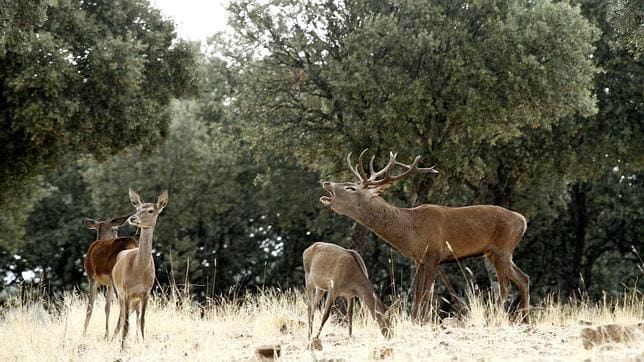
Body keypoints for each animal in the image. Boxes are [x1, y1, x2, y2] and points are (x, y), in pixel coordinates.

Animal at [112, 188, 169, 350]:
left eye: (151, 210)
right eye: (137, 208)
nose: (133, 218)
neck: (139, 271)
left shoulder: (146, 292)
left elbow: (142, 321)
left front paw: (143, 344)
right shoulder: (126, 291)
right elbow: (125, 323)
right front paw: (122, 349)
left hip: (135, 300)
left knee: (134, 319)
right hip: (118, 292)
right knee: (121, 318)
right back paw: (114, 340)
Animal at [320, 151, 532, 320]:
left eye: (351, 187)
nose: (327, 182)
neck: (410, 231)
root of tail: (522, 220)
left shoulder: (433, 256)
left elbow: (424, 296)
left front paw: (421, 322)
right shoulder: (420, 260)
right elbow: (418, 295)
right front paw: (416, 321)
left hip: (502, 249)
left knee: (505, 287)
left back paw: (497, 318)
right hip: (501, 253)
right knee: (524, 278)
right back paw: (524, 319)